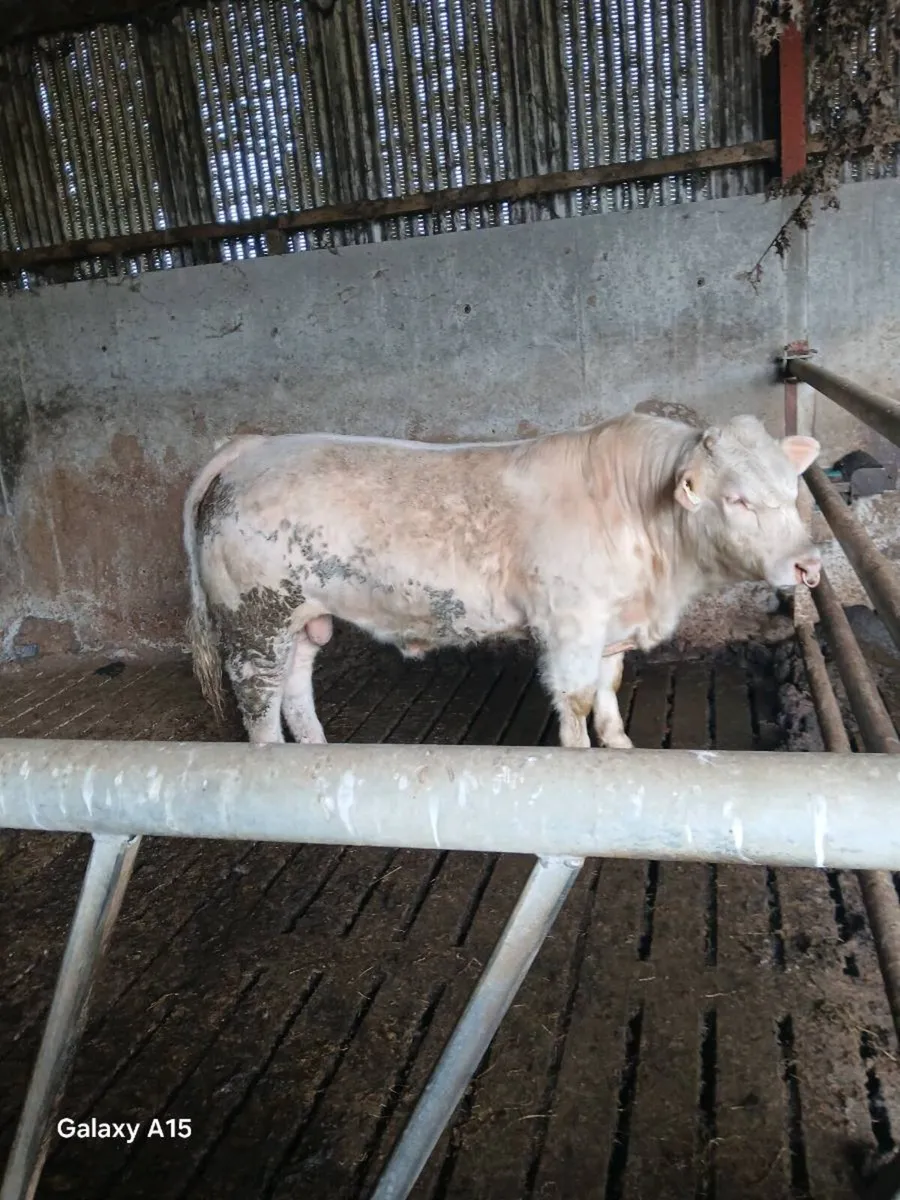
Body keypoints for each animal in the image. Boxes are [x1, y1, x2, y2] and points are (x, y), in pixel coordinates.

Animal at [183, 413, 821, 750]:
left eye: (792, 486)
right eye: (737, 499)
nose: (807, 566)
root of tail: (252, 446)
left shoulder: (611, 622)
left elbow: (610, 684)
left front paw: (618, 744)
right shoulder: (570, 624)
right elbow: (577, 695)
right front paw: (585, 754)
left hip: (301, 617)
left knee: (295, 685)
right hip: (253, 621)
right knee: (260, 702)